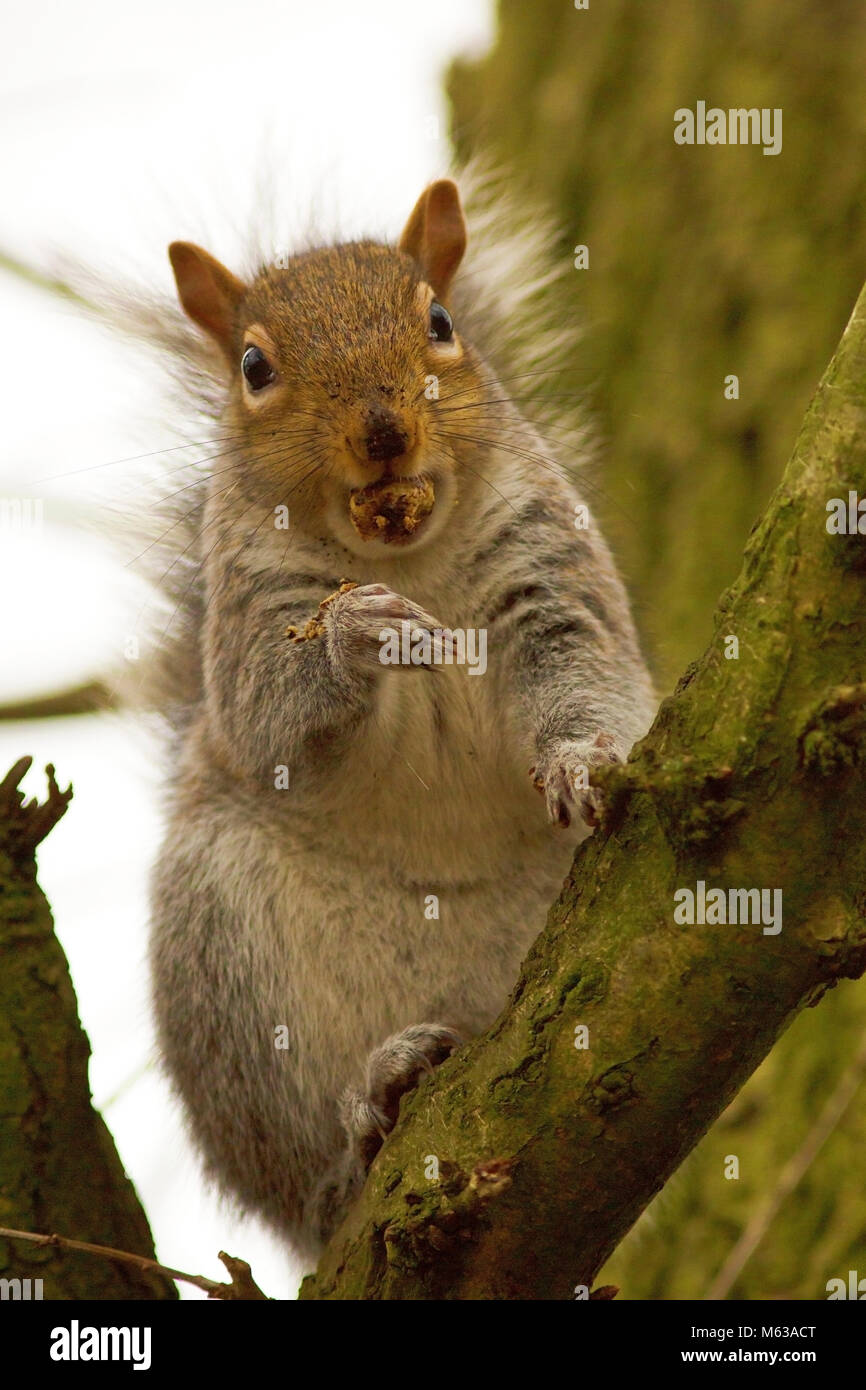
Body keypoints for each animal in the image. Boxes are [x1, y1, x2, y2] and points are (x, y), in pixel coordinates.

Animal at [142, 173, 653, 1262]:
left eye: (440, 322)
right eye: (253, 367)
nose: (383, 432)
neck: (403, 551)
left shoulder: (547, 572)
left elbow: (584, 666)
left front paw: (580, 758)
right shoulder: (249, 617)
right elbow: (268, 718)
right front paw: (354, 635)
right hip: (225, 963)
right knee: (309, 1170)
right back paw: (367, 1112)